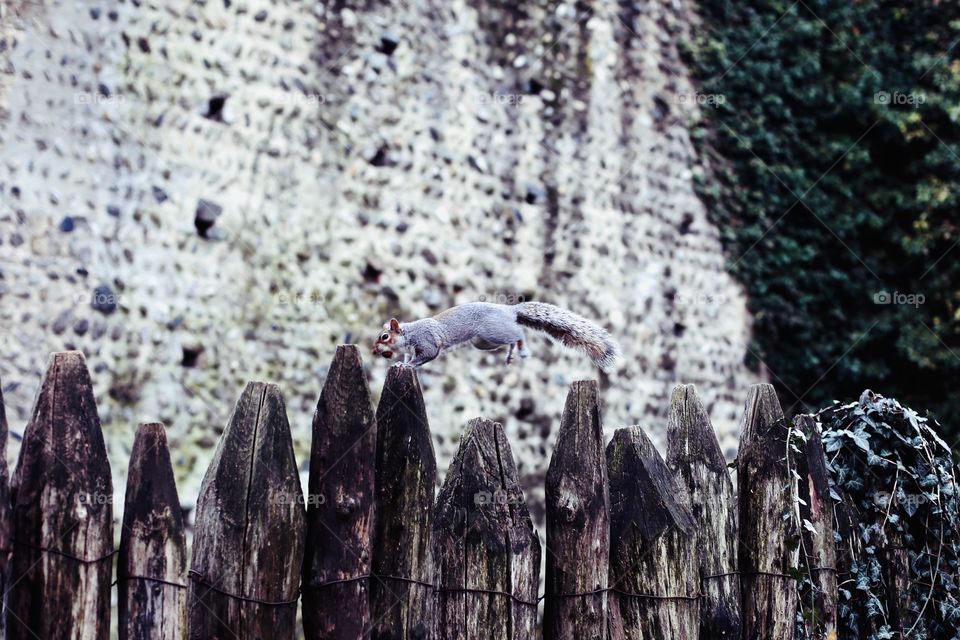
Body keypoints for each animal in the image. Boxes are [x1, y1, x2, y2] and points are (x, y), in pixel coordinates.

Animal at [371, 301, 620, 371]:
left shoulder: (427, 341)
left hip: (494, 331)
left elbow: (426, 356)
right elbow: (407, 357)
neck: (409, 333)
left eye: (384, 337)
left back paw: (521, 348)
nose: (373, 351)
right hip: (485, 343)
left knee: (518, 333)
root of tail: (509, 310)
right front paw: (398, 365)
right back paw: (510, 355)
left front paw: (408, 366)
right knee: (509, 340)